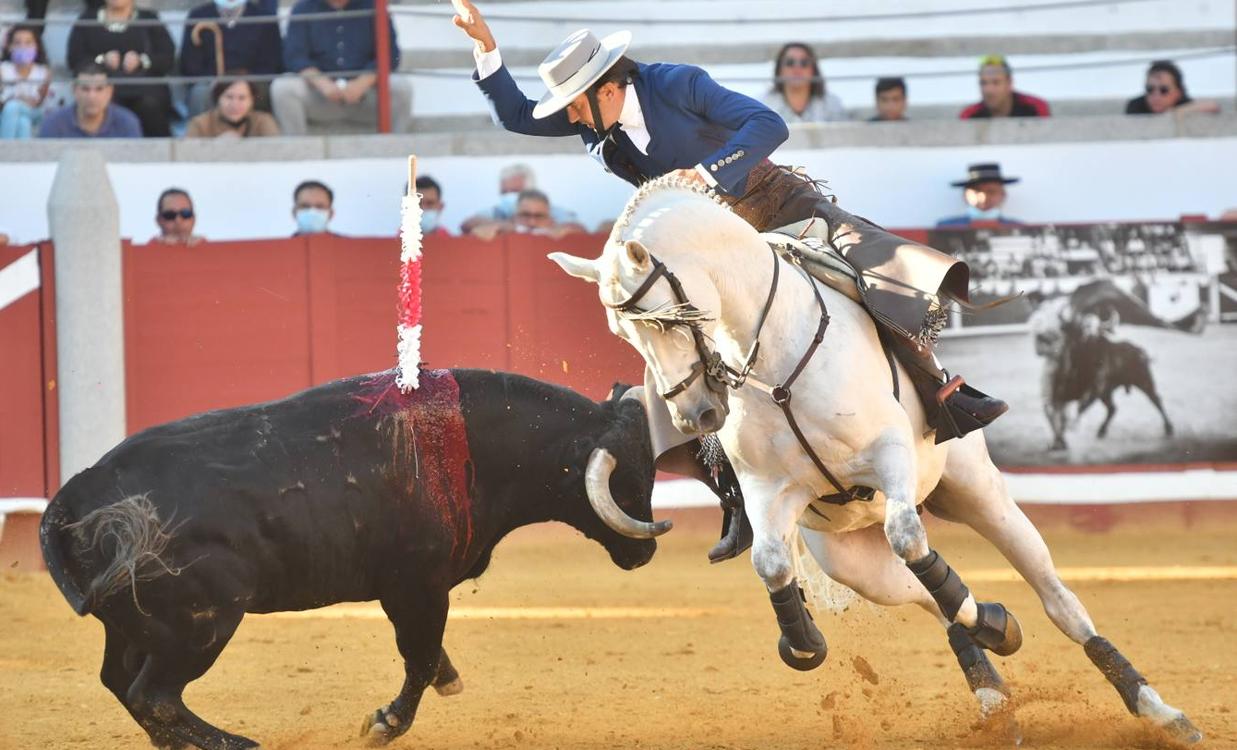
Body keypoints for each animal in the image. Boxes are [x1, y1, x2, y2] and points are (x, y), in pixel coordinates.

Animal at [38, 371, 663, 750]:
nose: (645, 551)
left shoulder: (407, 592)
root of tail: (75, 496)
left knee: (122, 684)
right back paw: (238, 742)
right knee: (154, 696)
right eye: (631, 479)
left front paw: (446, 679)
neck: (478, 447)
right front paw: (385, 723)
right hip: (201, 625)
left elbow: (426, 655)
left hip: (134, 626)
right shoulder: (417, 586)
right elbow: (417, 657)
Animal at [549, 178, 1197, 747]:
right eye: (623, 333)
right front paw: (804, 639)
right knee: (924, 597)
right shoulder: (766, 492)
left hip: (979, 494)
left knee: (1055, 599)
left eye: (668, 320)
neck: (773, 357)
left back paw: (1157, 710)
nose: (696, 417)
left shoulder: (890, 456)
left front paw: (986, 617)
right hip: (853, 561)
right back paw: (994, 687)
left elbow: (910, 535)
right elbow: (770, 564)